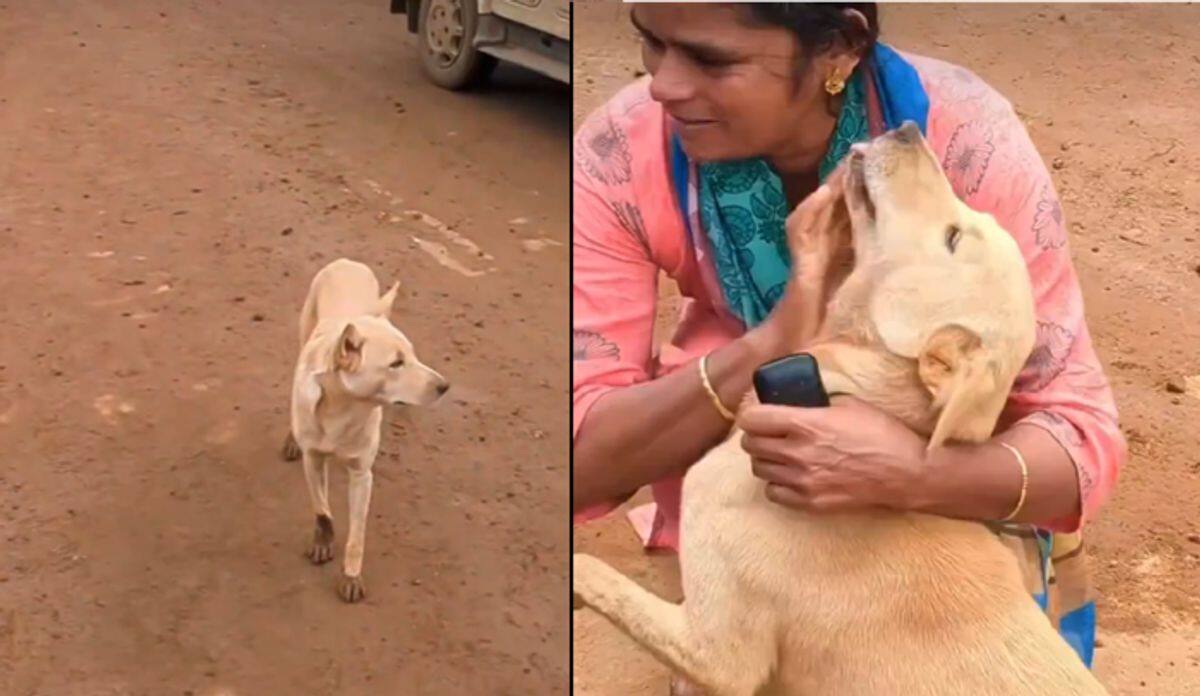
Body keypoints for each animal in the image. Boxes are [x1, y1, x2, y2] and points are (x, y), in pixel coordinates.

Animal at [283, 258, 448, 600]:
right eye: (396, 364)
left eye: (412, 356)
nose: (445, 386)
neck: (344, 408)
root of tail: (347, 262)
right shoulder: (313, 460)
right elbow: (321, 507)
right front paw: (323, 539)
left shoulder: (361, 475)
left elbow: (357, 535)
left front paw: (351, 575)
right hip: (304, 330)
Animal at [571, 126, 1104, 696]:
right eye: (965, 225)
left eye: (953, 238)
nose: (908, 131)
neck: (849, 394)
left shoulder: (719, 655)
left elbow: (594, 572)